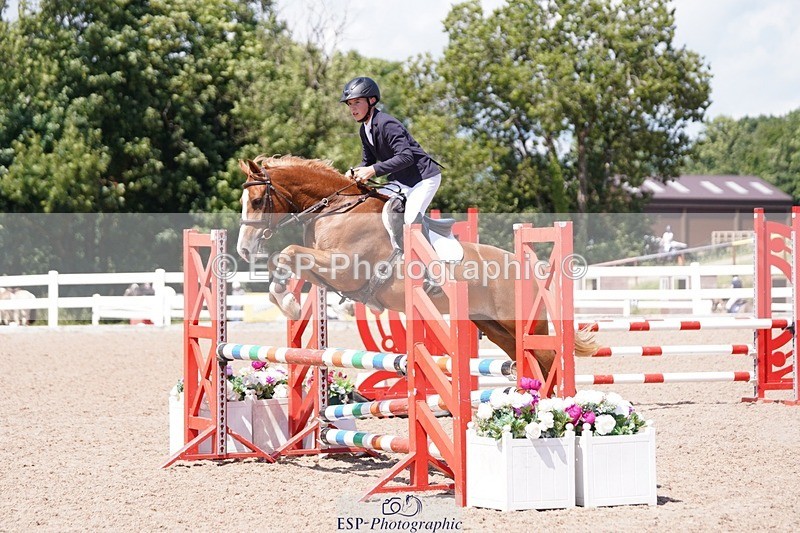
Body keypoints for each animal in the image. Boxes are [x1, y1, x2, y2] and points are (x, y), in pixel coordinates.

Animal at [235, 155, 596, 376]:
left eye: (257, 201)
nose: (243, 249)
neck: (336, 208)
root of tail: (525, 266)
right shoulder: (328, 270)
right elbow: (289, 261)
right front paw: (287, 299)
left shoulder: (344, 268)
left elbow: (288, 252)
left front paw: (290, 303)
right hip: (492, 326)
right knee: (525, 359)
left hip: (522, 323)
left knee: (547, 358)